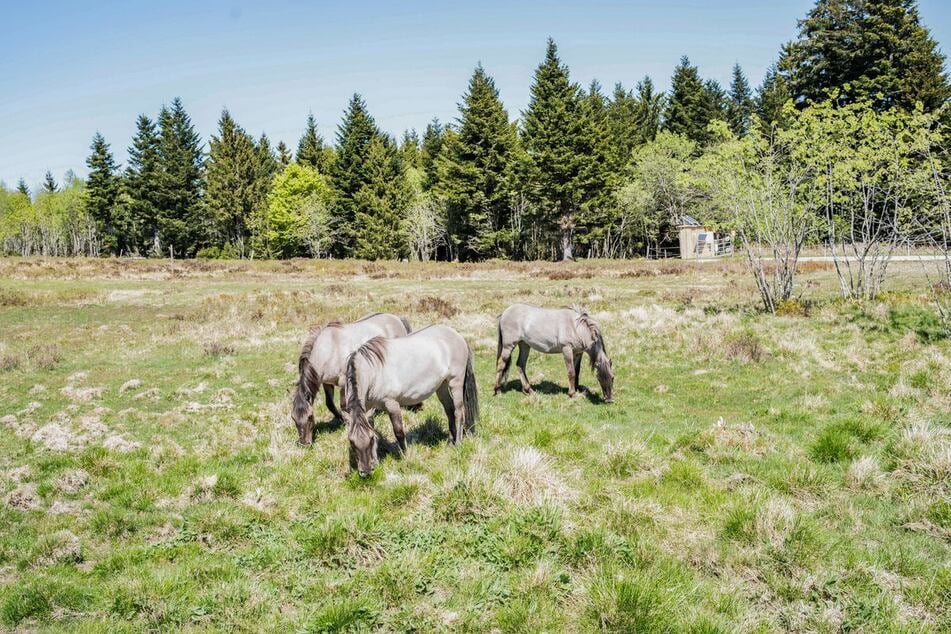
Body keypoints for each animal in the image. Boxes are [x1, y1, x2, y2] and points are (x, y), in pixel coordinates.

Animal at [291, 312, 411, 445]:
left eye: (310, 416)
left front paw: (347, 422)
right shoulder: (326, 383)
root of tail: (396, 318)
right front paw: (340, 418)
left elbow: (343, 405)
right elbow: (330, 404)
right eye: (293, 418)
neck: (329, 349)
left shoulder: (344, 383)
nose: (304, 443)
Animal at [345, 325, 479, 476]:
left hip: (455, 383)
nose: (366, 471)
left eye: (370, 439)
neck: (374, 371)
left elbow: (399, 432)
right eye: (351, 442)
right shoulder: (368, 409)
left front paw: (405, 457)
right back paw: (450, 442)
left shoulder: (392, 404)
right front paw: (376, 462)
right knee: (449, 410)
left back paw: (458, 443)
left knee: (459, 412)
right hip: (442, 386)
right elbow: (373, 428)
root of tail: (458, 335)